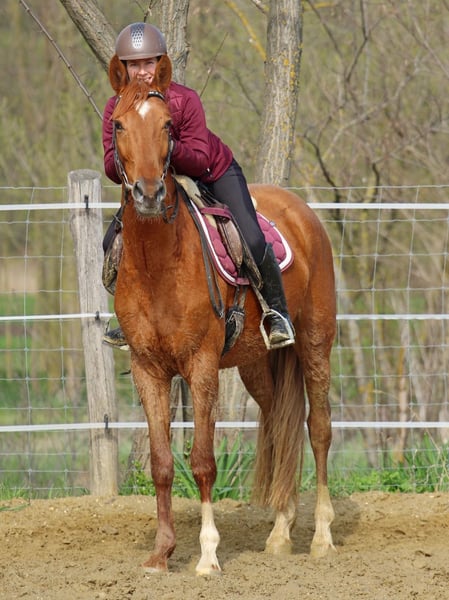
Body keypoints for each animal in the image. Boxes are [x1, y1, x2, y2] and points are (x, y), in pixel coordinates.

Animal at [107, 54, 337, 574]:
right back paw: (280, 532)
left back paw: (321, 536)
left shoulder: (201, 365)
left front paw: (208, 554)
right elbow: (162, 463)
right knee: (280, 425)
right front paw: (162, 551)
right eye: (119, 124)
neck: (157, 263)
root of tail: (302, 211)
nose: (148, 193)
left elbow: (203, 461)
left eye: (169, 124)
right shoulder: (147, 369)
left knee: (317, 429)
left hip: (316, 343)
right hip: (257, 365)